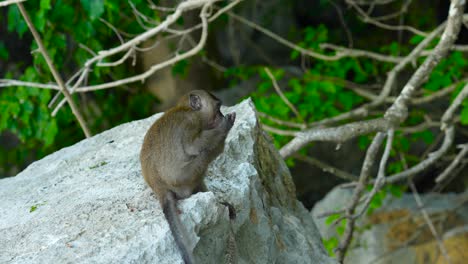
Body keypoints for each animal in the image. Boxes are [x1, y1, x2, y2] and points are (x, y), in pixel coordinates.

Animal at [138, 89, 234, 262]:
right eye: (218, 108)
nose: (221, 115)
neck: (186, 109)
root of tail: (160, 189)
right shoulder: (190, 122)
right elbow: (193, 147)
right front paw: (225, 125)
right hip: (185, 178)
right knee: (205, 154)